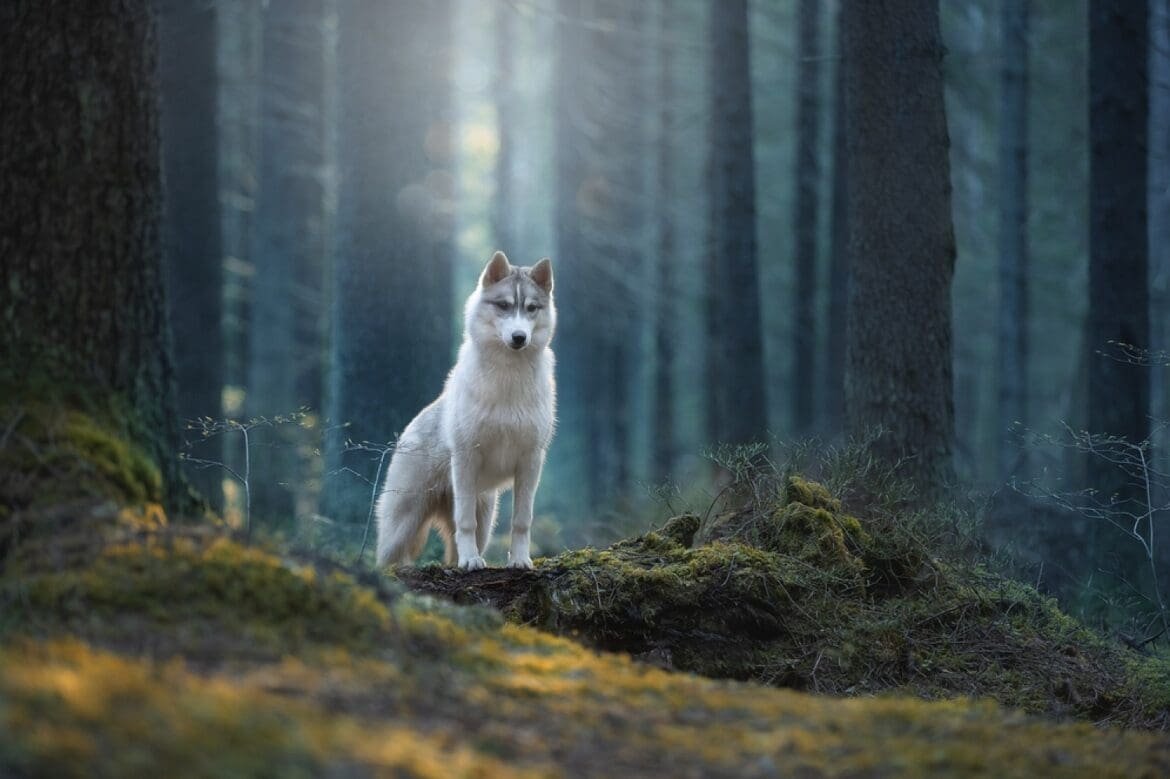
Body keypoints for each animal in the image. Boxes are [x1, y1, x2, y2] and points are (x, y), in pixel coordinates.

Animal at [374, 251, 556, 570]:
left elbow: (522, 521)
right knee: (388, 557)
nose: (519, 337)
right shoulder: (467, 458)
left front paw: (520, 560)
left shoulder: (531, 461)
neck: (508, 376)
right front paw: (471, 562)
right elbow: (464, 522)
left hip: (486, 519)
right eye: (504, 305)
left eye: (531, 308)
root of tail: (409, 428)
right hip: (402, 526)